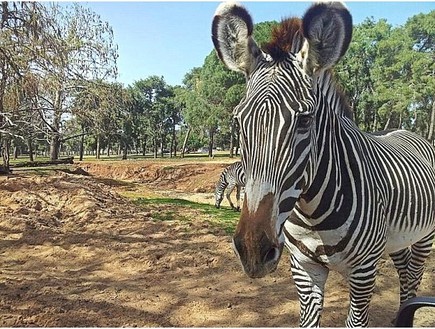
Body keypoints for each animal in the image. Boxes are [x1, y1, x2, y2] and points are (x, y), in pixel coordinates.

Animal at [212, 1, 435, 326]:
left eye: (305, 121)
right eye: (238, 122)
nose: (254, 251)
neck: (312, 214)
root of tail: (407, 131)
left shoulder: (364, 272)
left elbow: (356, 320)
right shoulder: (305, 268)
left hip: (424, 236)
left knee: (413, 276)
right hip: (396, 238)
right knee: (405, 270)